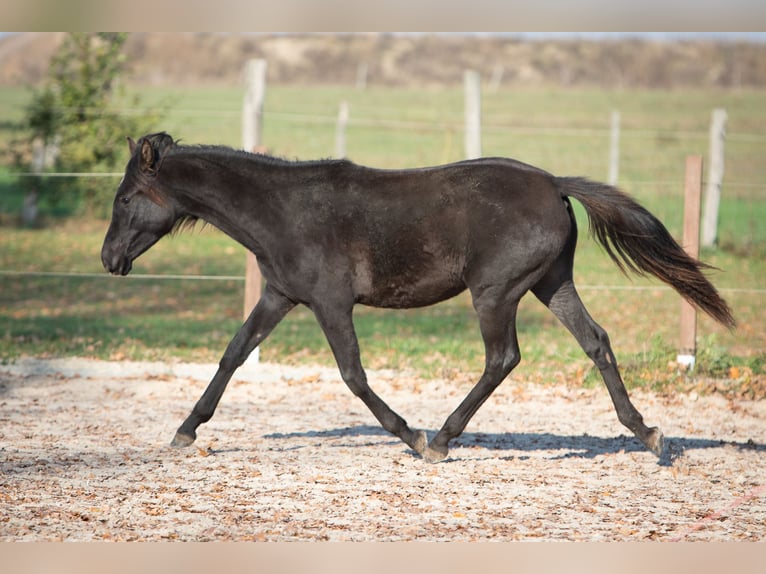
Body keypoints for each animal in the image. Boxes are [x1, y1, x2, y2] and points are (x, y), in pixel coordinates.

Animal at [101, 132, 734, 463]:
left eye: (126, 198)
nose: (109, 260)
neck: (284, 211)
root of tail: (555, 184)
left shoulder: (331, 303)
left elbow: (353, 374)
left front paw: (411, 434)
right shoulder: (281, 297)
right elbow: (232, 355)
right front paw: (186, 430)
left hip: (495, 292)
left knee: (502, 358)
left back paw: (443, 439)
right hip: (551, 284)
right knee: (596, 342)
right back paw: (649, 434)